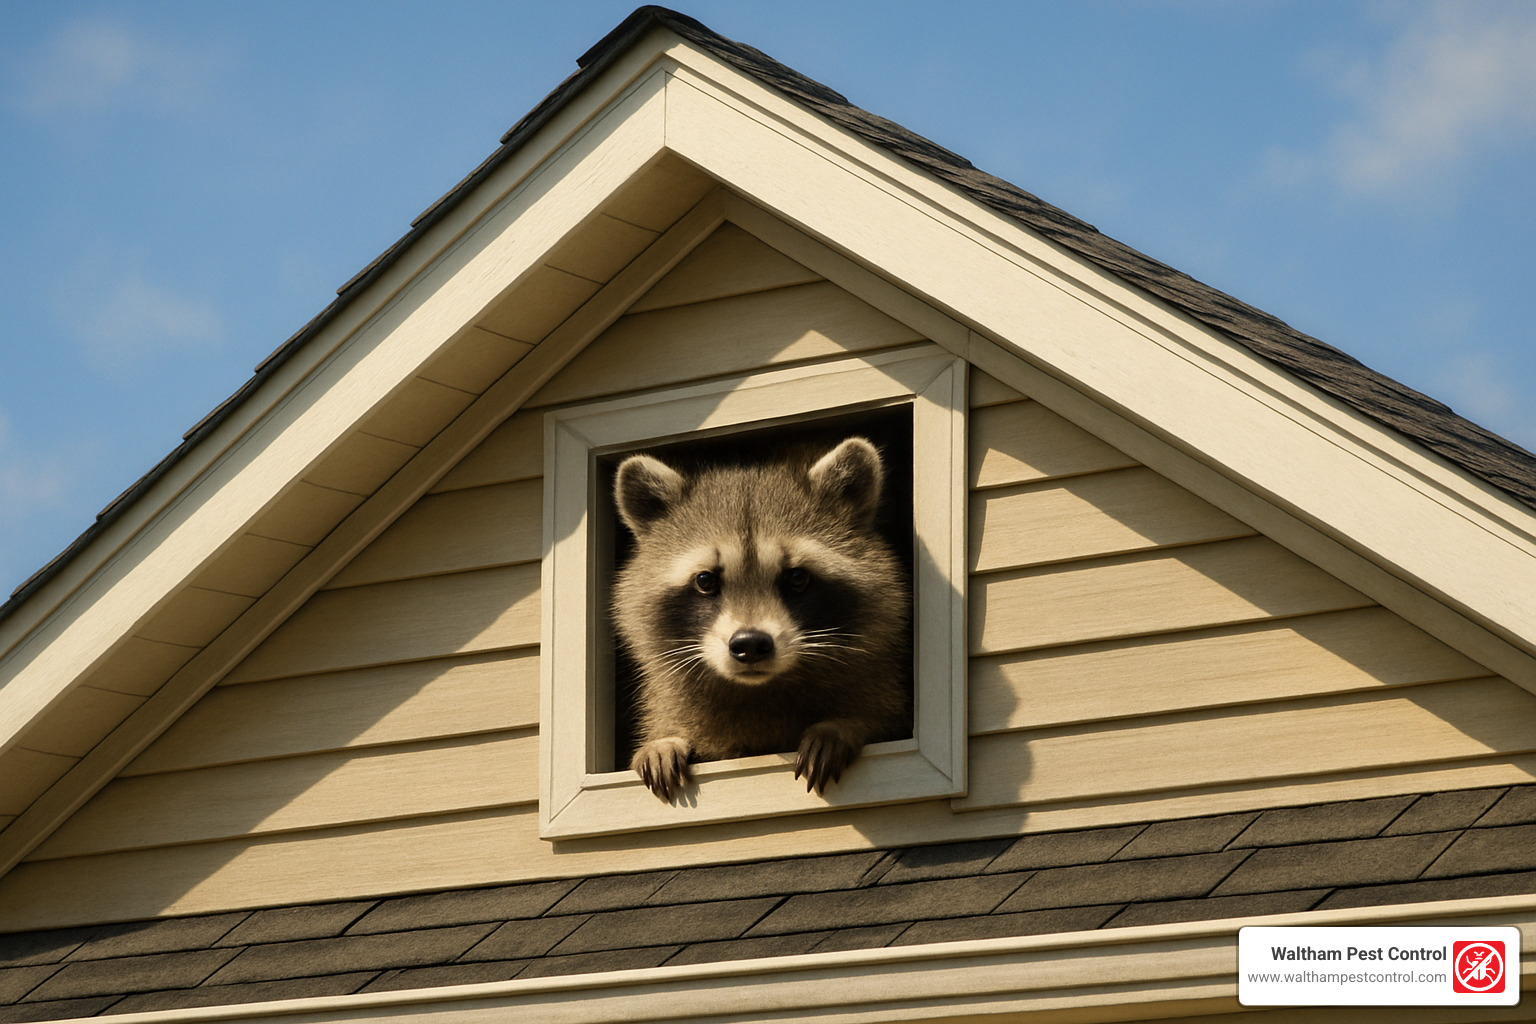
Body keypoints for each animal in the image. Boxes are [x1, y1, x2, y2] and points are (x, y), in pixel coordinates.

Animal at [611, 436, 911, 801]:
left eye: (797, 577)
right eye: (705, 580)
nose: (750, 644)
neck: (757, 689)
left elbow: (881, 720)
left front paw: (842, 726)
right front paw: (664, 741)